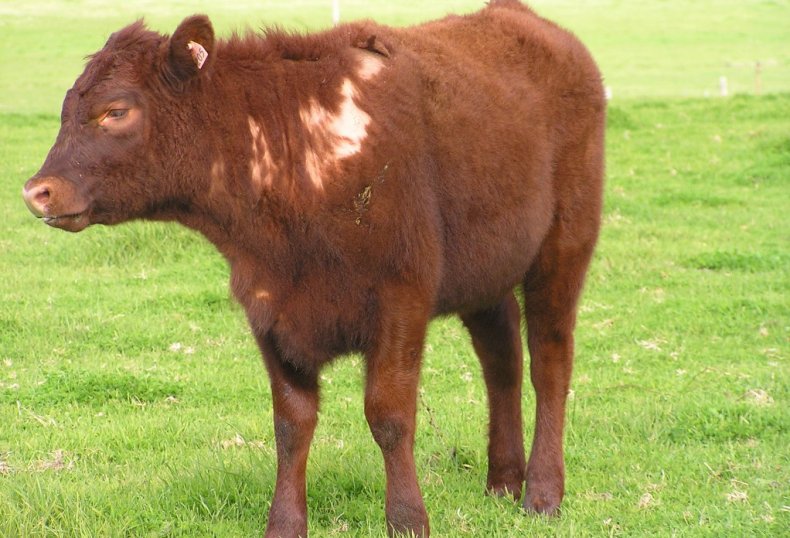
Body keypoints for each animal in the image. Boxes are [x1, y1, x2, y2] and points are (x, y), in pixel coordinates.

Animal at [23, 2, 608, 532]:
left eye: (116, 111)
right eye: (66, 108)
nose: (37, 190)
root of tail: (530, 22)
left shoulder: (401, 298)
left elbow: (389, 415)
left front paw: (407, 518)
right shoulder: (268, 307)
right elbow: (291, 423)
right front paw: (284, 522)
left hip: (564, 246)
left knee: (549, 361)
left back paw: (542, 493)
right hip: (486, 270)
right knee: (502, 356)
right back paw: (503, 481)